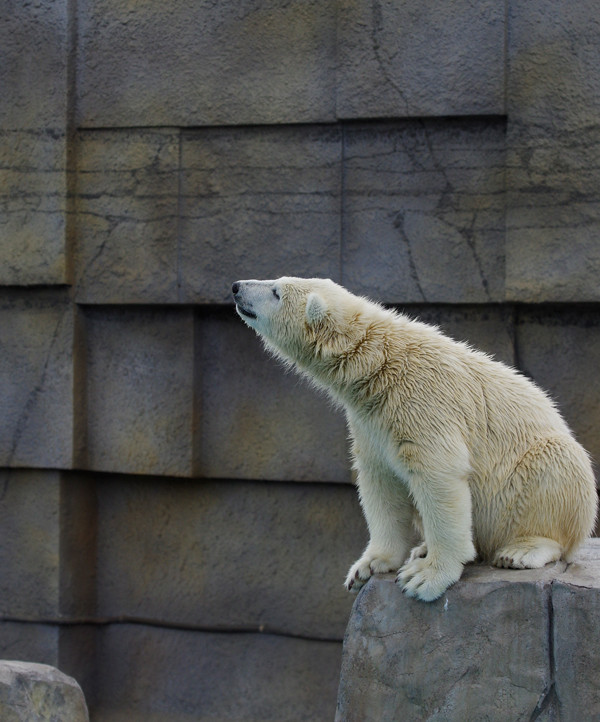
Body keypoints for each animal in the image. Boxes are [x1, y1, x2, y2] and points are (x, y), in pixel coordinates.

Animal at [232, 278, 596, 600]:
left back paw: (520, 551)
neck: (379, 363)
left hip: (541, 475)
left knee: (554, 469)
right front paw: (368, 566)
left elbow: (438, 476)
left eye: (277, 291)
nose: (236, 287)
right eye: (276, 281)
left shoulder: (423, 402)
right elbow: (381, 482)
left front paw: (426, 579)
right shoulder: (371, 421)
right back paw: (421, 548)